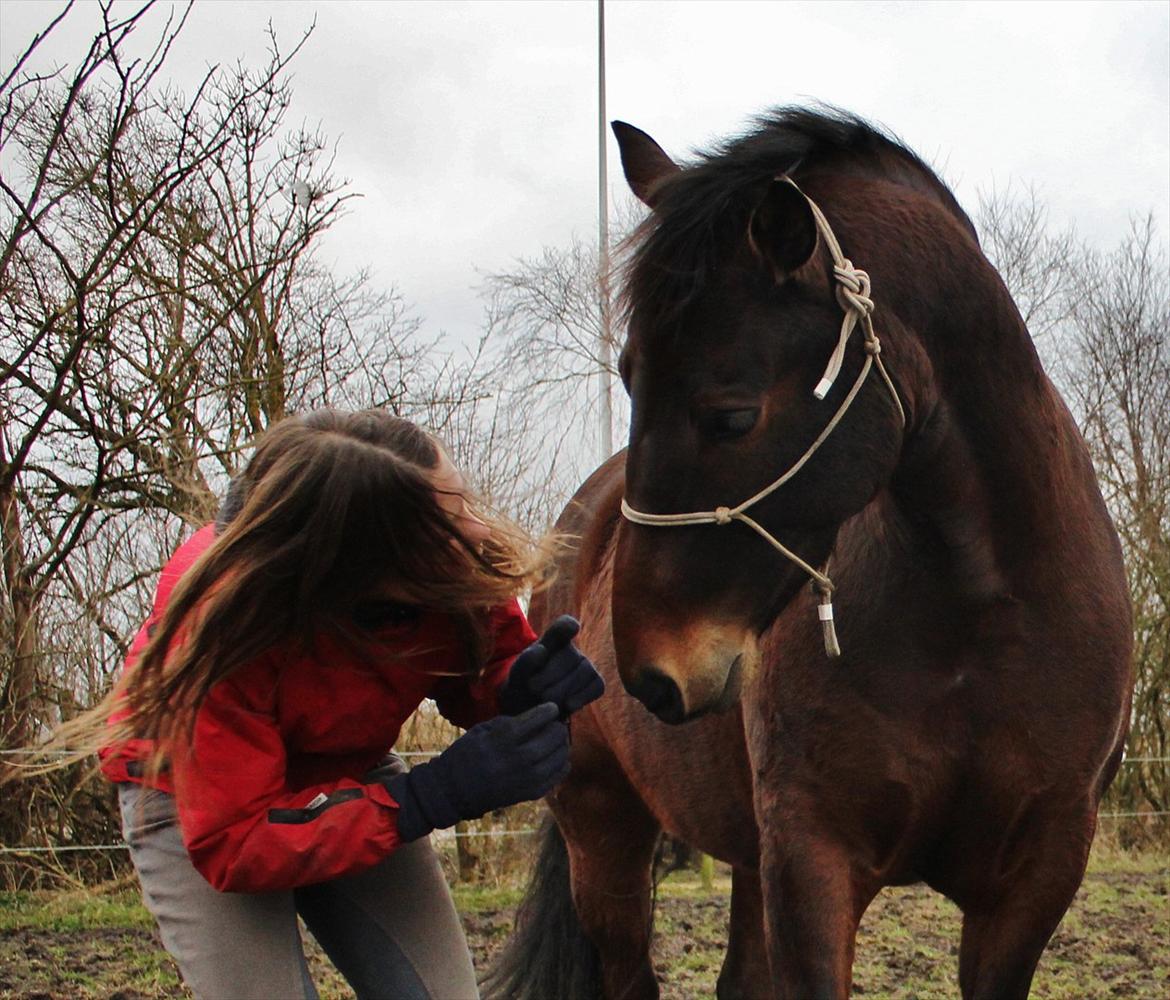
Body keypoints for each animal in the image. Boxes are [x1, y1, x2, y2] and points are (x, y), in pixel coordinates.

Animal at [479, 109, 1127, 1000]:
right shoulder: (812, 859)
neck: (982, 614)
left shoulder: (1037, 875)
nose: (650, 673)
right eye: (629, 379)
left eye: (732, 414)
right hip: (603, 828)